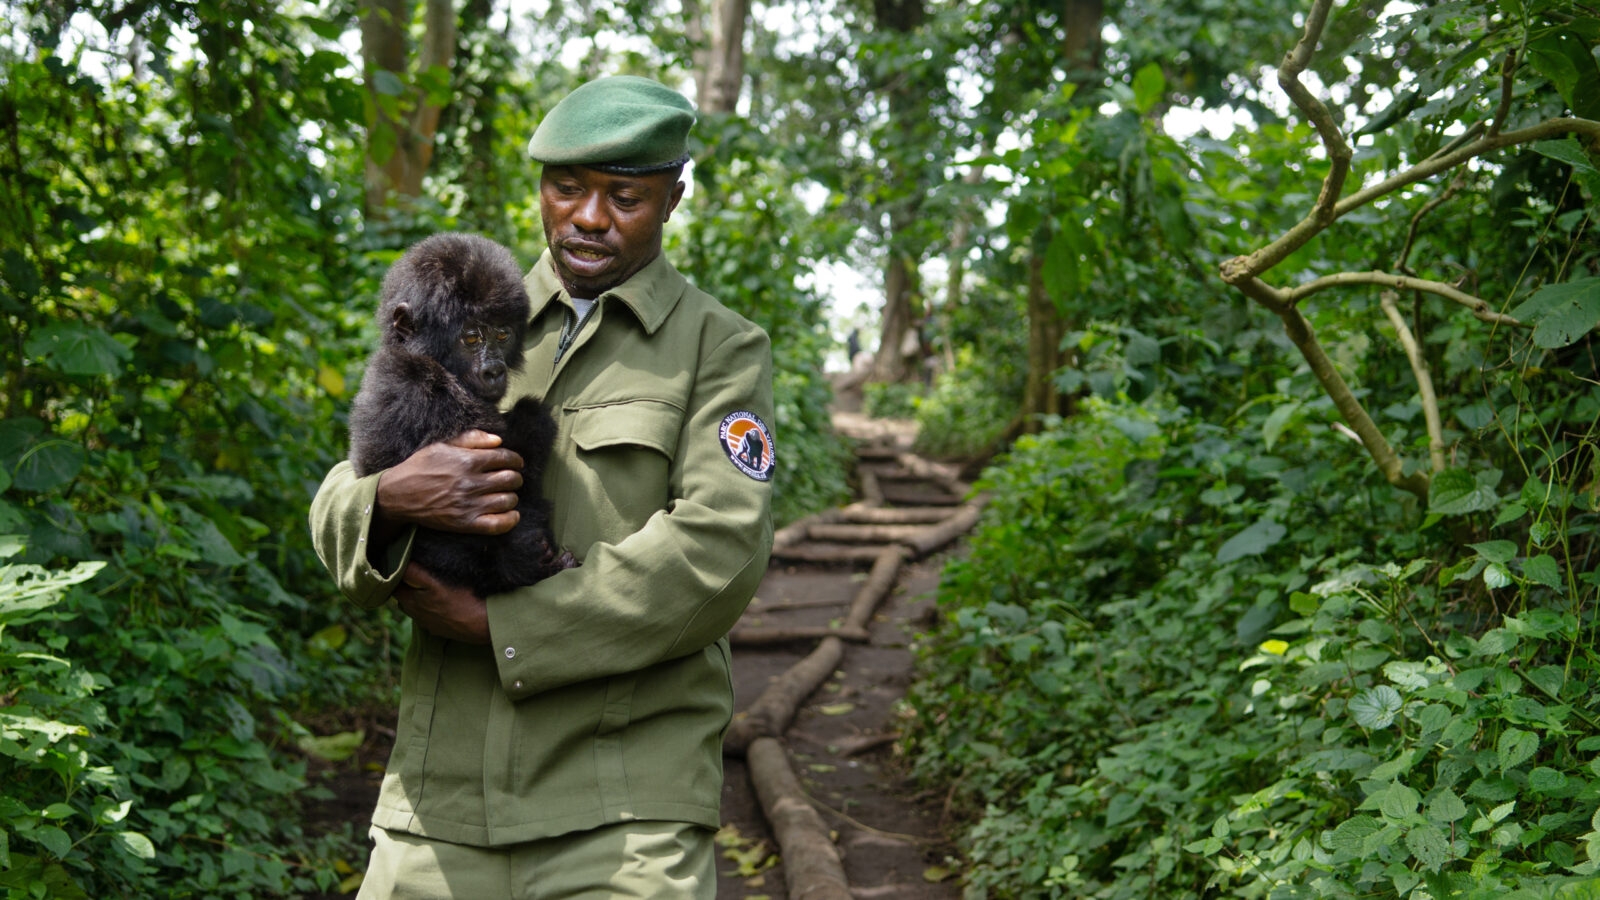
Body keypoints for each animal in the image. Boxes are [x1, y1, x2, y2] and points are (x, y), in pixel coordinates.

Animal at [347, 231, 573, 597]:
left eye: (502, 334)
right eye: (471, 338)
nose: (494, 371)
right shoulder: (419, 389)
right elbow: (518, 451)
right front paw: (533, 416)